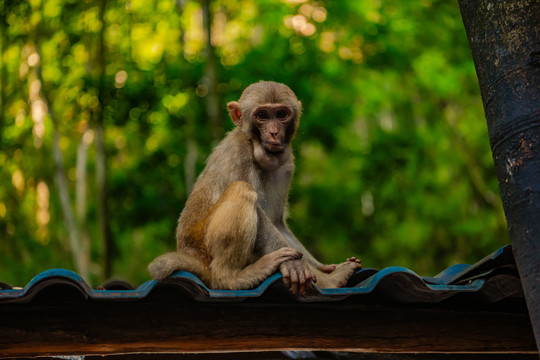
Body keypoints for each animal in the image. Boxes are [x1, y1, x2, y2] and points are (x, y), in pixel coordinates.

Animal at [147, 81, 362, 296]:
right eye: (263, 115)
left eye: (281, 114)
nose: (274, 132)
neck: (253, 144)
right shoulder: (238, 152)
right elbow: (260, 212)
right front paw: (299, 267)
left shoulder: (286, 166)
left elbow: (277, 222)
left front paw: (321, 267)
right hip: (206, 249)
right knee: (241, 189)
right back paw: (230, 278)